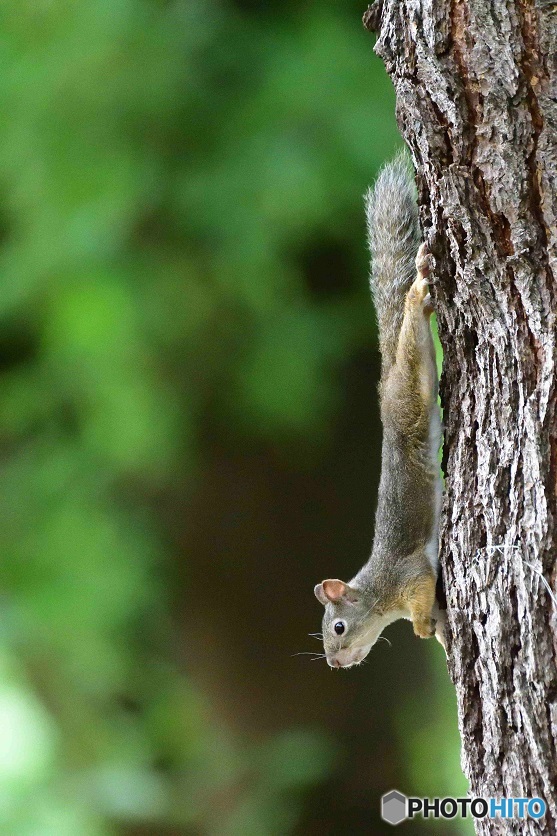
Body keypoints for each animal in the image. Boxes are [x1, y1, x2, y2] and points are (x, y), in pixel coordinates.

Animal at [312, 155, 444, 668]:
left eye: (339, 627)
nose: (334, 663)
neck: (378, 594)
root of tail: (386, 384)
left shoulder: (409, 576)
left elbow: (423, 588)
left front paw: (423, 628)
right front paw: (439, 634)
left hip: (410, 392)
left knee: (411, 334)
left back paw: (417, 293)